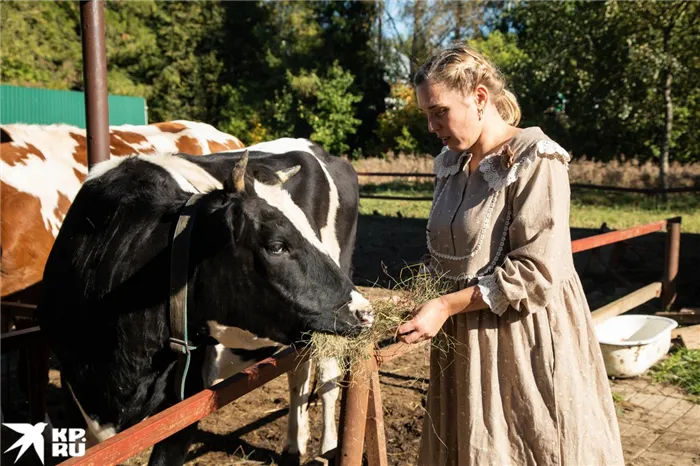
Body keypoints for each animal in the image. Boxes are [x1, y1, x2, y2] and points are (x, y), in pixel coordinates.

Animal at [34, 138, 372, 466]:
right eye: (276, 245)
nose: (364, 311)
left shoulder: (186, 404)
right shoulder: (77, 398)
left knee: (328, 380)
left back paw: (328, 448)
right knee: (298, 372)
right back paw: (293, 446)